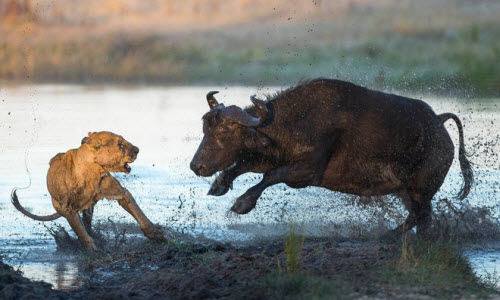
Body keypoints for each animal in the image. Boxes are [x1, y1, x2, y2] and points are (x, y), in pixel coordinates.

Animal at [190, 79, 472, 237]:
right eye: (205, 128)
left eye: (224, 131)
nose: (196, 166)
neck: (299, 121)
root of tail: (439, 122)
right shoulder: (272, 156)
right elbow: (244, 164)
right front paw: (219, 185)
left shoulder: (306, 172)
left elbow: (270, 176)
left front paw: (242, 203)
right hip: (407, 191)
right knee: (422, 217)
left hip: (421, 189)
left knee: (419, 216)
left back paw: (389, 236)